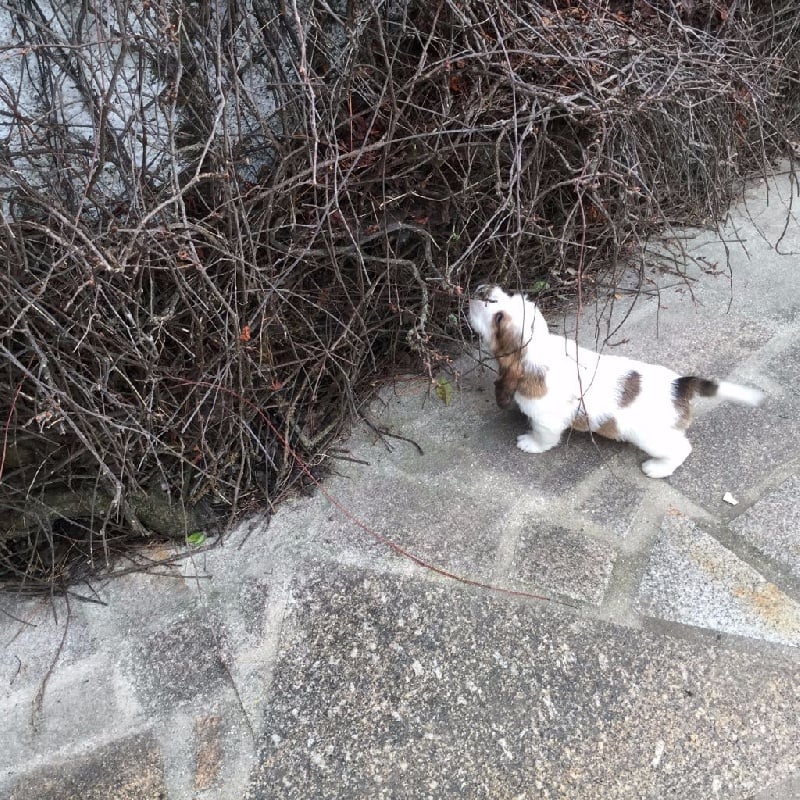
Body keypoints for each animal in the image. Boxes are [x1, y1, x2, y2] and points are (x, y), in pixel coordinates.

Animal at [468, 286, 764, 478]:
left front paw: (529, 443)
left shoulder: (547, 422)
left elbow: (544, 438)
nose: (482, 290)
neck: (538, 348)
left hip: (653, 438)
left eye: (499, 318)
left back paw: (657, 469)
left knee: (682, 448)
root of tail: (680, 385)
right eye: (509, 295)